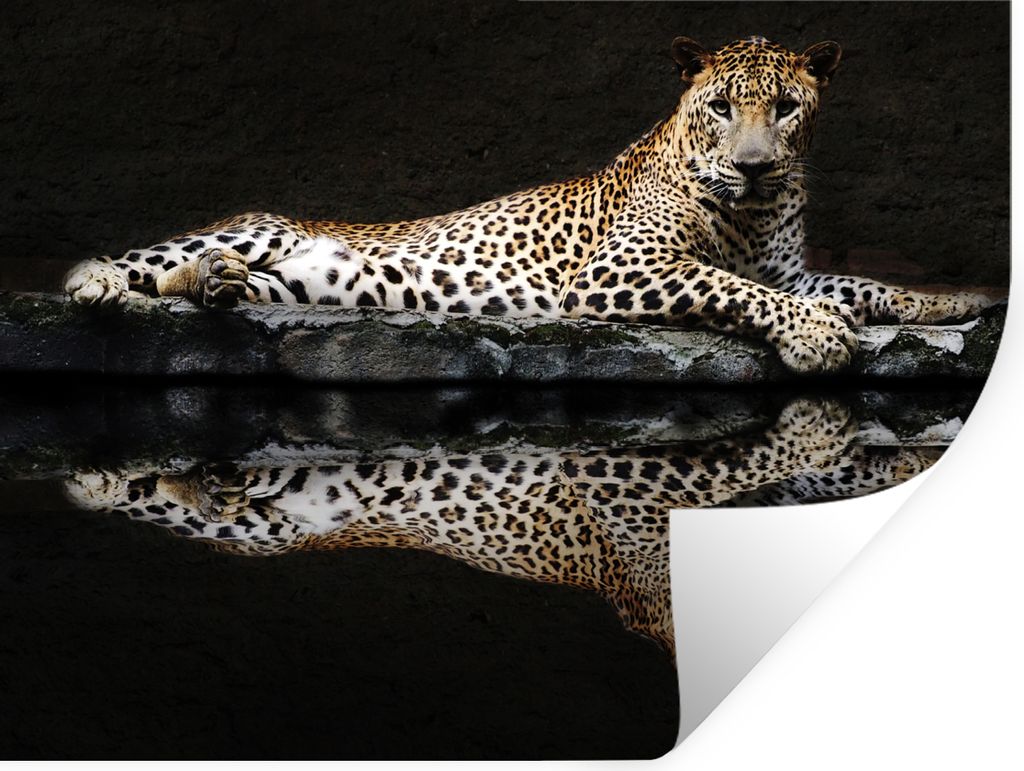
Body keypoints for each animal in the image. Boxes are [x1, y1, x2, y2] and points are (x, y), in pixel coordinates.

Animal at [62, 36, 992, 374]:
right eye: (724, 107)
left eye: (788, 108)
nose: (757, 167)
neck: (754, 213)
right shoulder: (627, 268)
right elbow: (733, 288)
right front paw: (816, 339)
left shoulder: (792, 271)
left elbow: (865, 285)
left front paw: (959, 299)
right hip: (256, 226)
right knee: (145, 263)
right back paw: (102, 282)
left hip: (297, 281)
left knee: (200, 282)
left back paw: (216, 284)